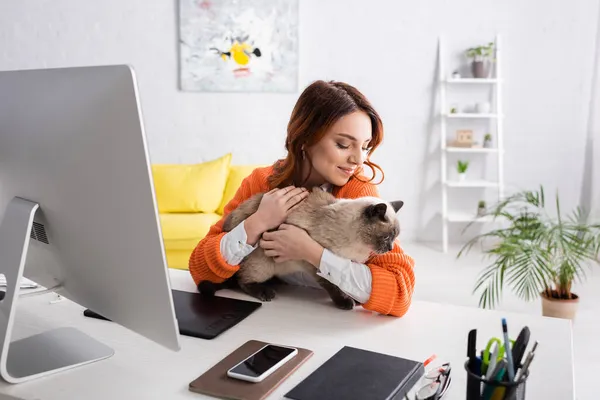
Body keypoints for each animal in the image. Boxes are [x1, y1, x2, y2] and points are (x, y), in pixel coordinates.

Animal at [199, 186, 406, 310]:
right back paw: (266, 292)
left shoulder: (346, 262)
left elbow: (344, 281)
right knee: (242, 280)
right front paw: (345, 302)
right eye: (386, 237)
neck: (358, 245)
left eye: (395, 238)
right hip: (263, 263)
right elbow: (332, 284)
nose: (389, 249)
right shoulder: (312, 263)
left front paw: (355, 298)